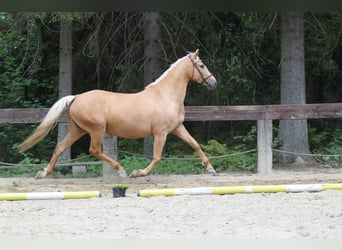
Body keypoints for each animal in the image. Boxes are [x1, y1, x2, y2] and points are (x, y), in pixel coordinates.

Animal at [18, 48, 216, 178]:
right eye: (201, 65)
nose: (213, 82)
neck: (165, 95)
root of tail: (76, 97)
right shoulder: (160, 133)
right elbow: (157, 157)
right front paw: (138, 173)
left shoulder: (177, 128)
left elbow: (195, 144)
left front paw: (210, 168)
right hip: (96, 130)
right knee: (94, 150)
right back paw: (121, 170)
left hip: (77, 130)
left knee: (60, 147)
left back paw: (44, 173)